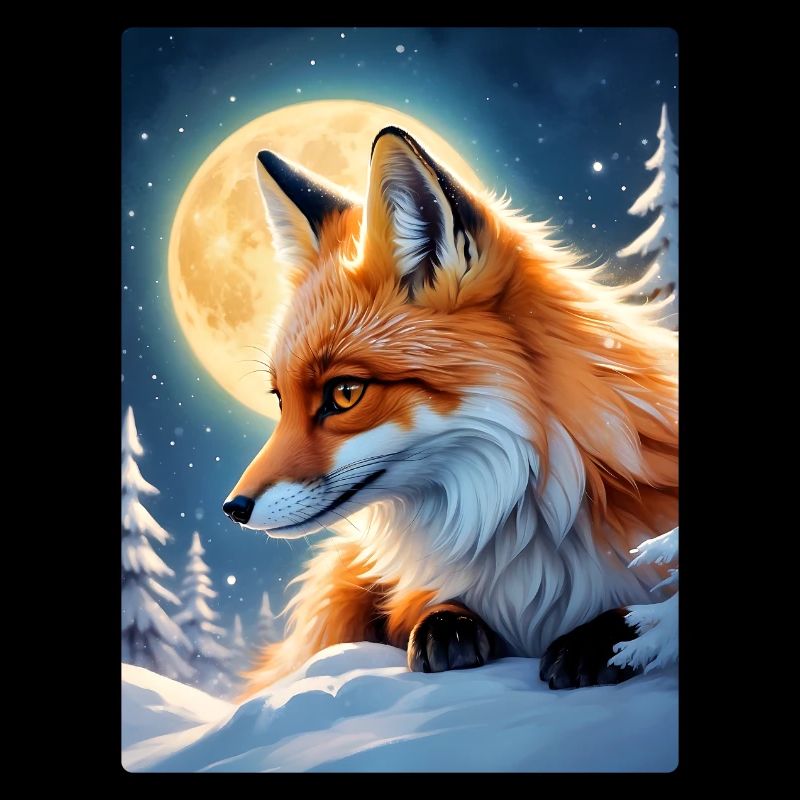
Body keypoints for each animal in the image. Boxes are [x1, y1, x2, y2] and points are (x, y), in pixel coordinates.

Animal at [222, 126, 678, 699]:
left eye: (344, 393)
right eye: (280, 400)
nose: (233, 508)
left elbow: (651, 608)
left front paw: (606, 637)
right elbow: (421, 607)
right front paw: (446, 624)